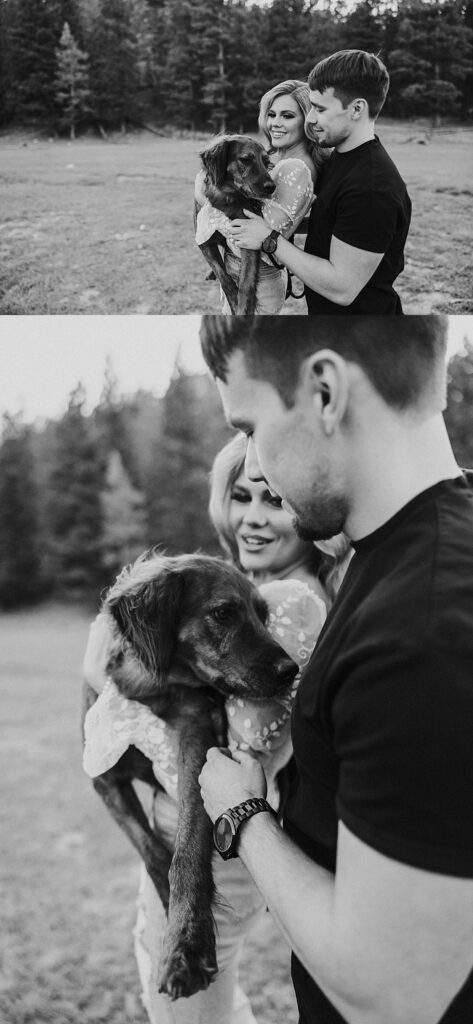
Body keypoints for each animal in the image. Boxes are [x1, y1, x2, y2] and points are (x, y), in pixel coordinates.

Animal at [81, 552, 294, 999]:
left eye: (264, 615)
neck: (149, 689)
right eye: (224, 613)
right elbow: (151, 848)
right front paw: (168, 911)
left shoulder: (199, 749)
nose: (292, 669)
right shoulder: (103, 778)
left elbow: (188, 851)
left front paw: (187, 946)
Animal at [194, 134, 276, 313]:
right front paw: (233, 302)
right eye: (246, 160)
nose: (272, 187)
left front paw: (243, 310)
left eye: (266, 162)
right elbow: (224, 277)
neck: (226, 200)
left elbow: (246, 283)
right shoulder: (204, 242)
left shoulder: (248, 241)